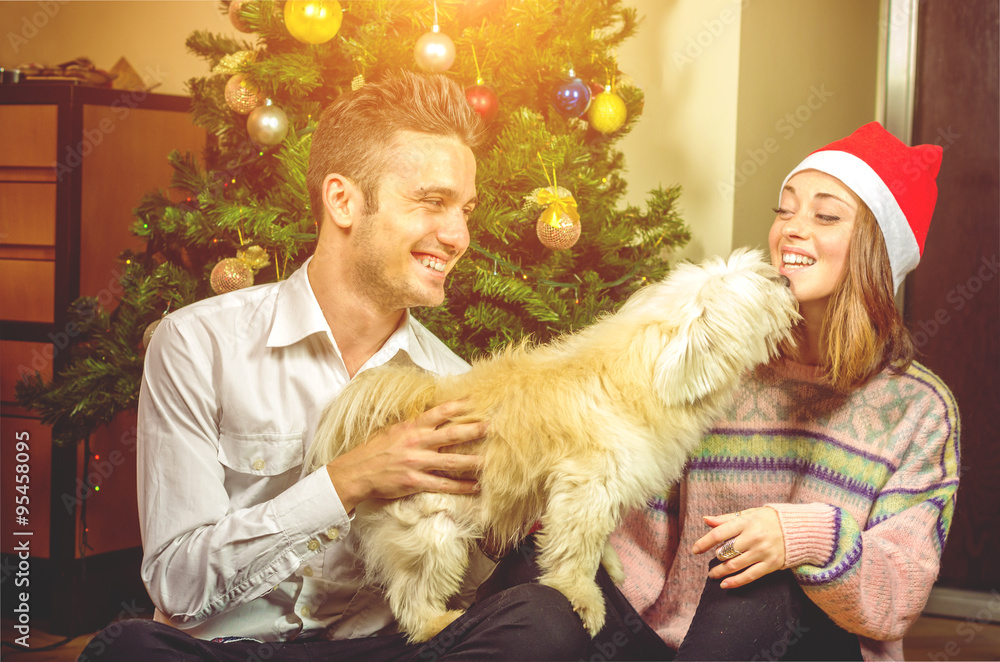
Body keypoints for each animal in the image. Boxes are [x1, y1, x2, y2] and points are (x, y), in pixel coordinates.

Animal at [304, 249, 796, 644]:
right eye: (762, 287)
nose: (787, 279)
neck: (646, 372)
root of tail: (412, 400)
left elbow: (595, 539)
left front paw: (611, 567)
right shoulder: (586, 487)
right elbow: (575, 550)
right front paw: (583, 598)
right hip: (434, 528)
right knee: (412, 595)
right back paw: (437, 624)